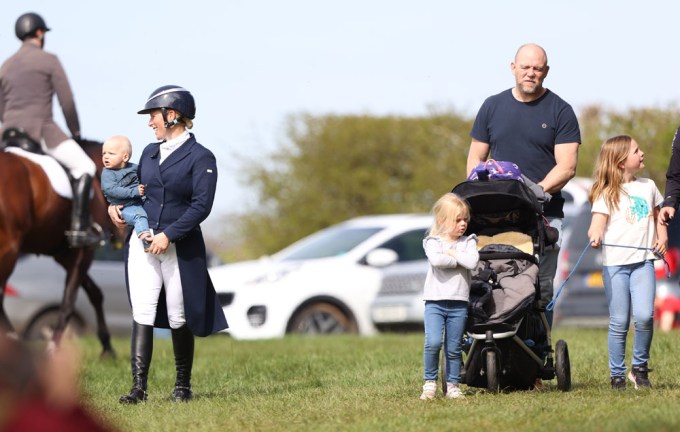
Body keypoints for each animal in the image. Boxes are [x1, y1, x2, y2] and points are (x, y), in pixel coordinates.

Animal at [0, 129, 127, 358]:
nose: (124, 230)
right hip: (9, 249)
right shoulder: (83, 251)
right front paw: (53, 348)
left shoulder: (64, 255)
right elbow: (69, 301)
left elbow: (95, 293)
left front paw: (107, 347)